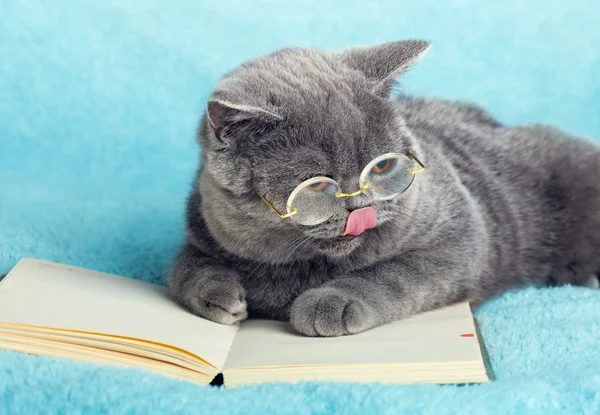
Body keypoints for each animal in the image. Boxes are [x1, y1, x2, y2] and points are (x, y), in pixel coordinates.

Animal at [165, 39, 600, 338]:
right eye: (314, 185)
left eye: (384, 165)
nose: (359, 206)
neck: (303, 266)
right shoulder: (201, 229)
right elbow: (185, 267)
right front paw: (219, 294)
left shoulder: (461, 236)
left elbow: (392, 272)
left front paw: (332, 302)